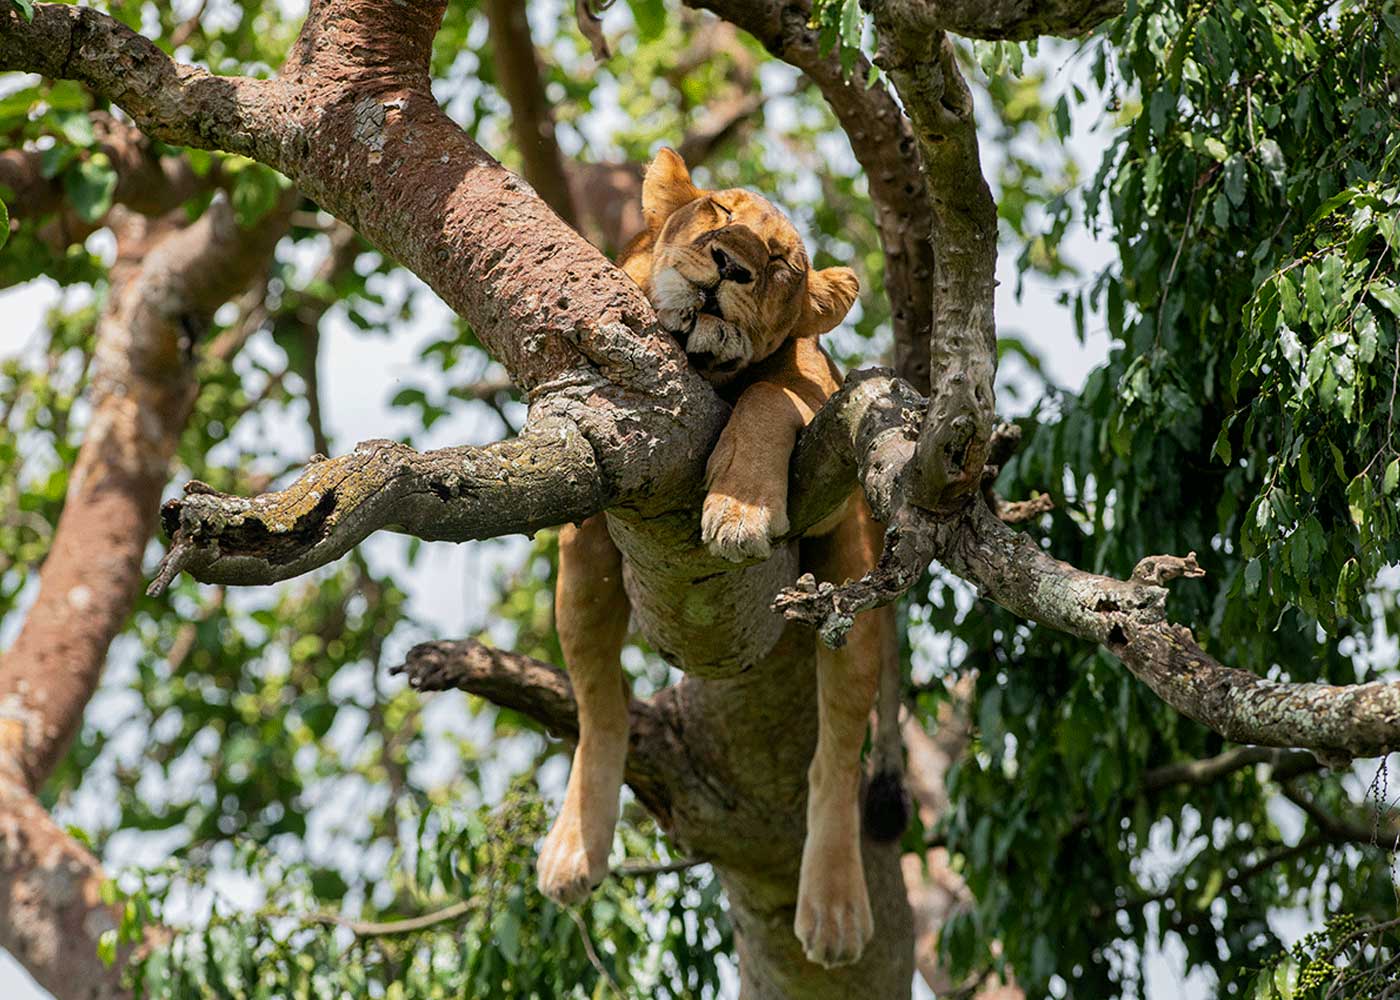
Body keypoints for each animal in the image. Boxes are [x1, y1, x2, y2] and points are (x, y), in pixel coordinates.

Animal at [538, 148, 903, 969]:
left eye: (781, 262)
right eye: (717, 212)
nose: (730, 265)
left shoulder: (822, 402)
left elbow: (768, 401)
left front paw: (739, 511)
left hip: (855, 581)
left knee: (837, 755)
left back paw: (833, 909)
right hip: (581, 580)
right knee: (601, 707)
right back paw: (575, 847)